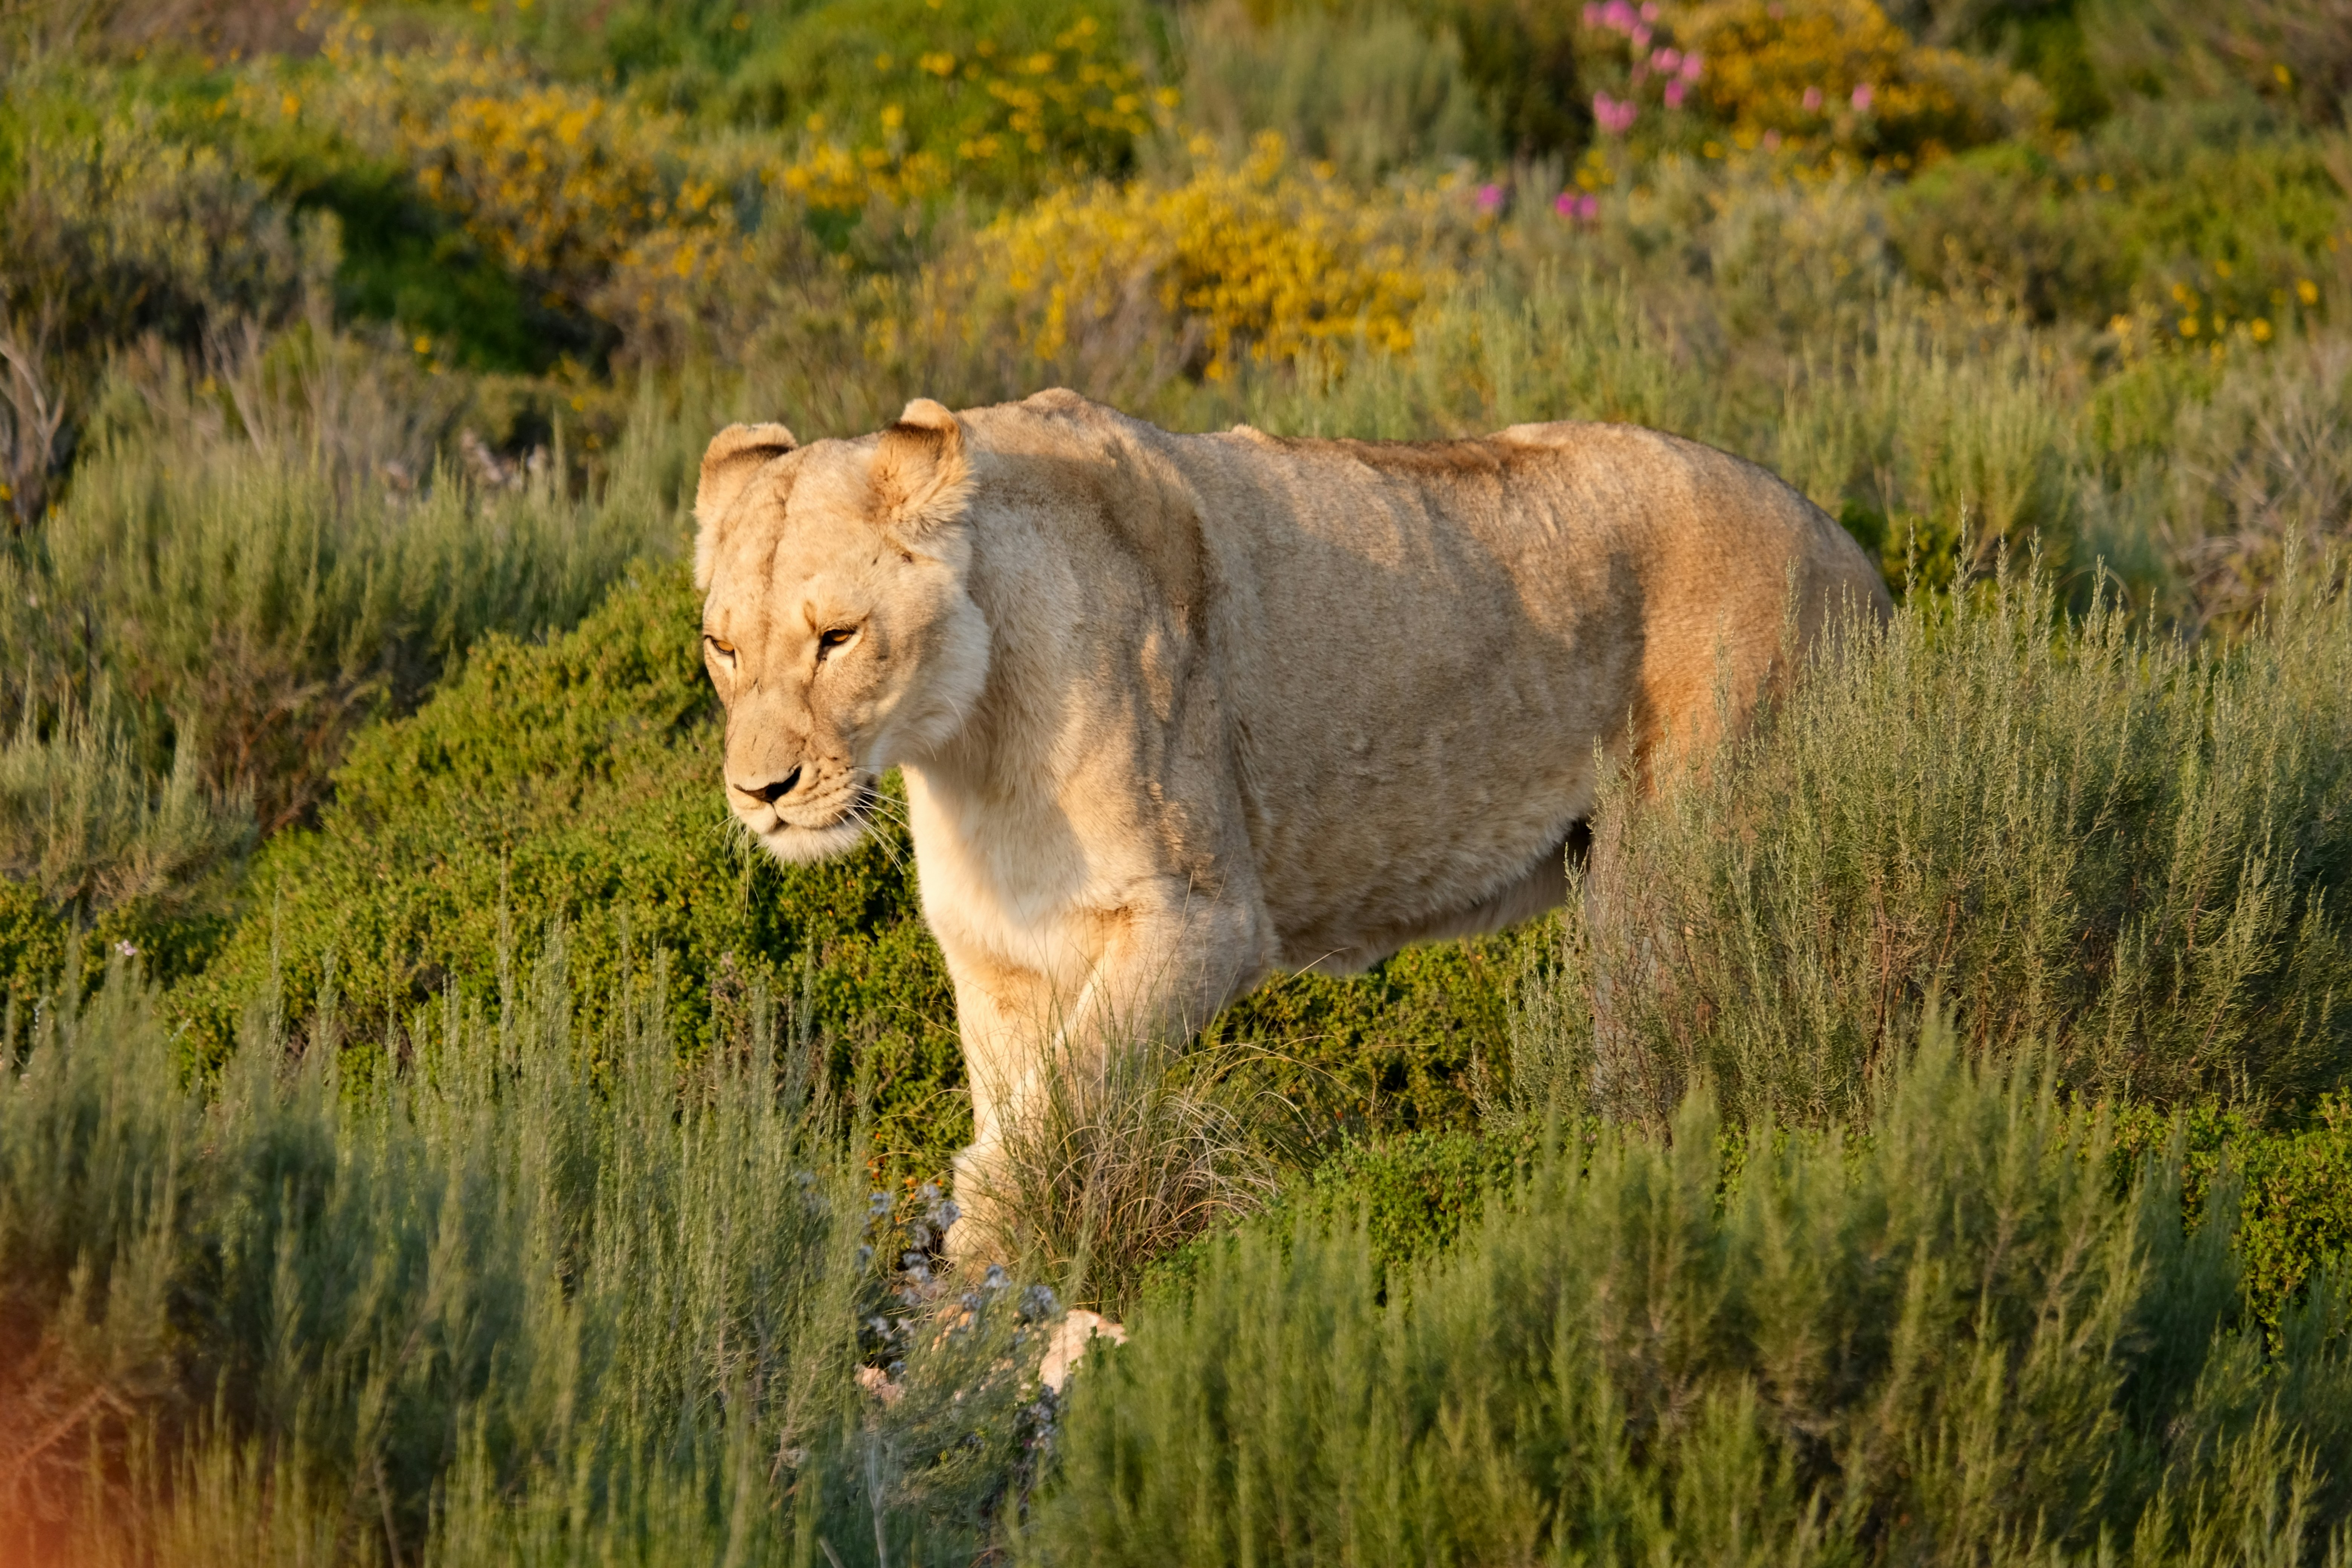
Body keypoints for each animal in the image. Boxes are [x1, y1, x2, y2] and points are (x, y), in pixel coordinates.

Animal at [692, 388, 1890, 1259]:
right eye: (723, 647)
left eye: (838, 637)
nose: (762, 792)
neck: (969, 744)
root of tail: (1850, 548)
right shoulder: (1000, 956)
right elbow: (1022, 1113)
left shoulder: (1200, 919)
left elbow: (1043, 1119)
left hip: (1683, 859)